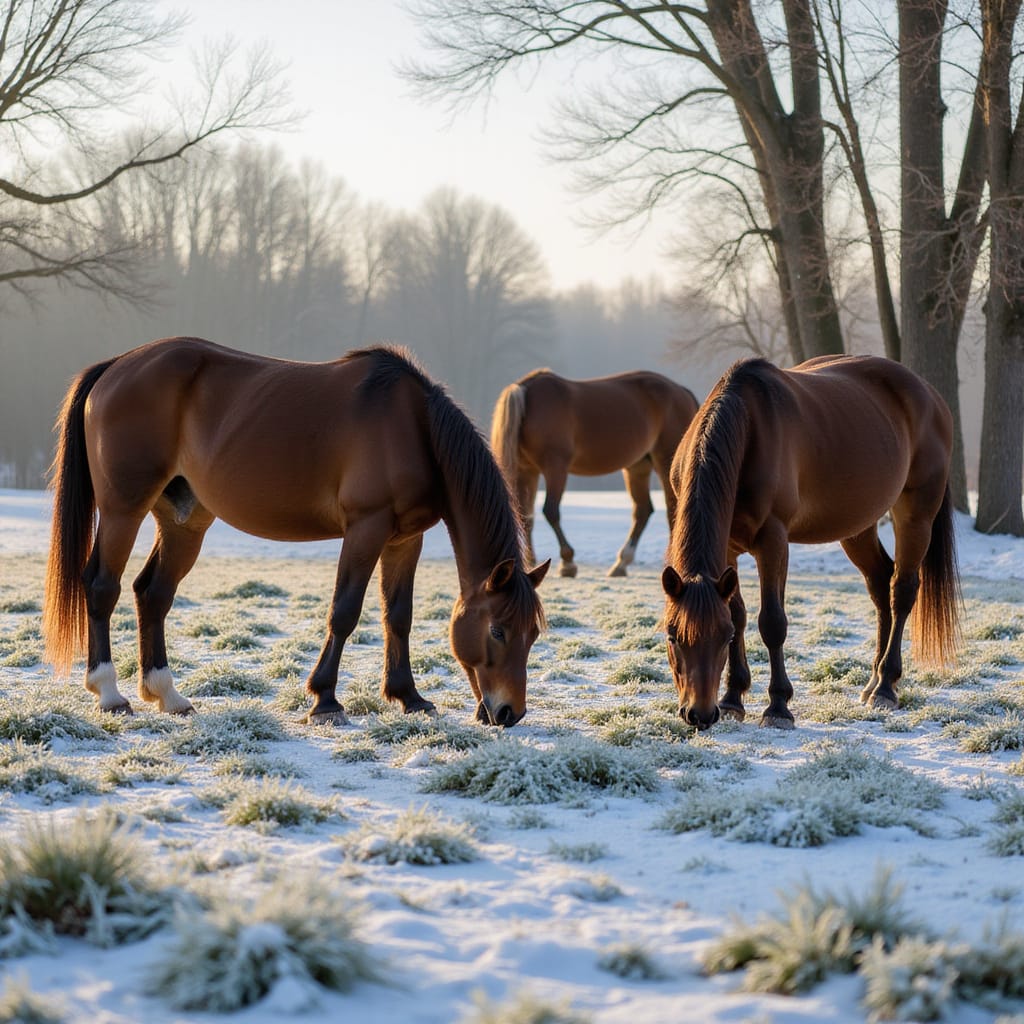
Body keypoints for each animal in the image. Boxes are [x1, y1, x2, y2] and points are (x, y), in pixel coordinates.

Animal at [44, 338, 549, 727]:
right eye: (498, 630)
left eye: (533, 633)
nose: (509, 713)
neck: (415, 429)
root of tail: (116, 366)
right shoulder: (366, 528)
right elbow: (344, 612)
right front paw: (325, 700)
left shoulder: (405, 539)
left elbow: (398, 616)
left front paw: (409, 697)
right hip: (122, 510)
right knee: (102, 587)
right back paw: (110, 693)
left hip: (183, 521)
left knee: (153, 594)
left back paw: (167, 694)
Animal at [490, 368, 699, 577]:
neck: (530, 405)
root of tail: (681, 392)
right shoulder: (526, 471)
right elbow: (525, 515)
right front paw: (530, 562)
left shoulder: (555, 467)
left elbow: (551, 511)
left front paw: (568, 562)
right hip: (638, 467)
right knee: (643, 511)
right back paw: (621, 563)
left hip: (665, 463)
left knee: (672, 508)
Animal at [661, 354, 959, 731]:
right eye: (672, 636)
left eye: (722, 638)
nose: (699, 714)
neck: (746, 427)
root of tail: (931, 396)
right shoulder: (728, 548)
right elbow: (739, 613)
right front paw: (732, 698)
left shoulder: (773, 542)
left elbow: (772, 622)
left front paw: (777, 706)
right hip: (857, 527)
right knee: (880, 584)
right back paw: (873, 682)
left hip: (916, 516)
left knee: (901, 591)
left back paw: (886, 687)